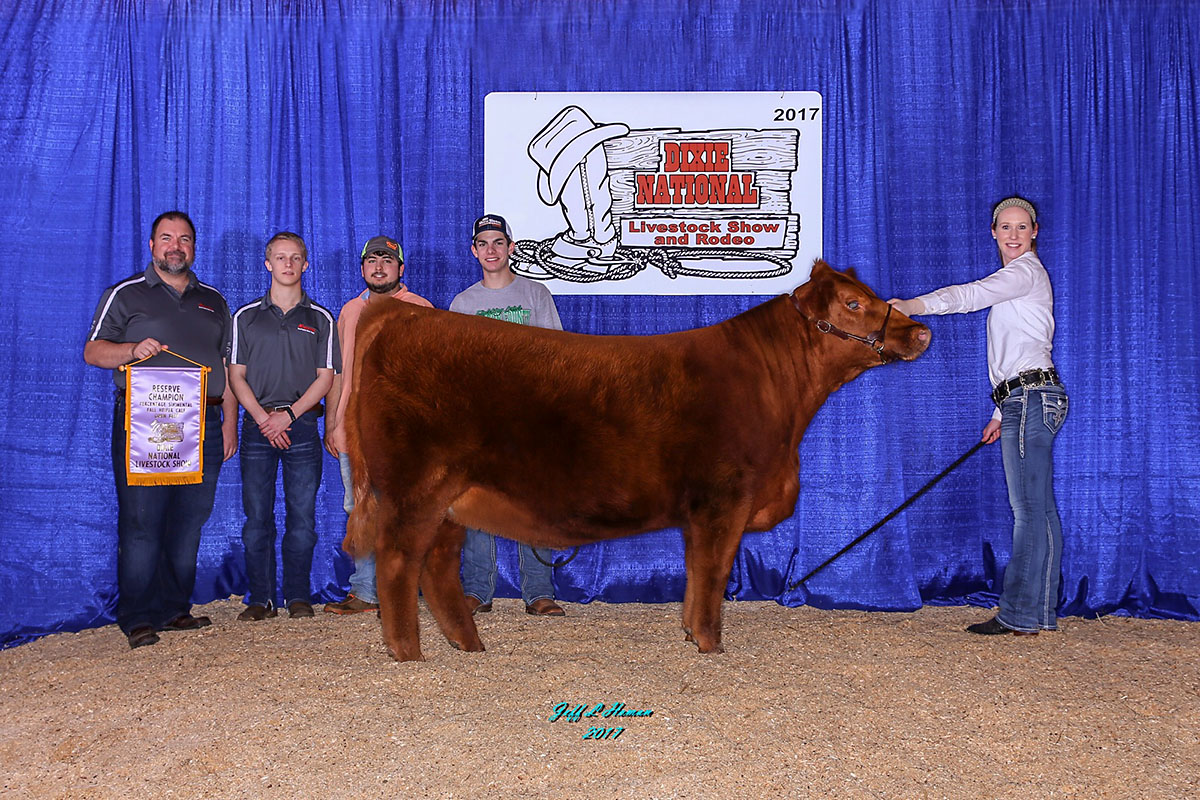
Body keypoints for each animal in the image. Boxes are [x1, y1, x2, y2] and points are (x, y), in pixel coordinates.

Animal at [343, 260, 930, 661]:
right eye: (852, 304)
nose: (920, 330)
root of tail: (398, 314)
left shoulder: (703, 512)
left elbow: (696, 574)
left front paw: (691, 634)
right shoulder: (724, 499)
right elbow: (713, 574)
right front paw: (711, 646)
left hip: (450, 497)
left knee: (437, 568)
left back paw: (468, 646)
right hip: (415, 487)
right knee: (398, 564)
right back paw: (409, 654)